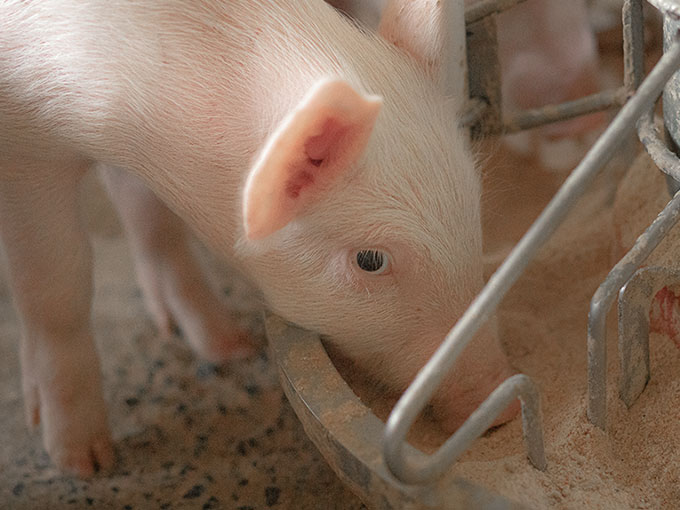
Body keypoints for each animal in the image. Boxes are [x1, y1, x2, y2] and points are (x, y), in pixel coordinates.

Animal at [0, 0, 516, 477]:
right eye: (370, 259)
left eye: (473, 209)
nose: (503, 404)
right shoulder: (25, 151)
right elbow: (56, 285)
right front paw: (84, 463)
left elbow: (152, 217)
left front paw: (232, 349)